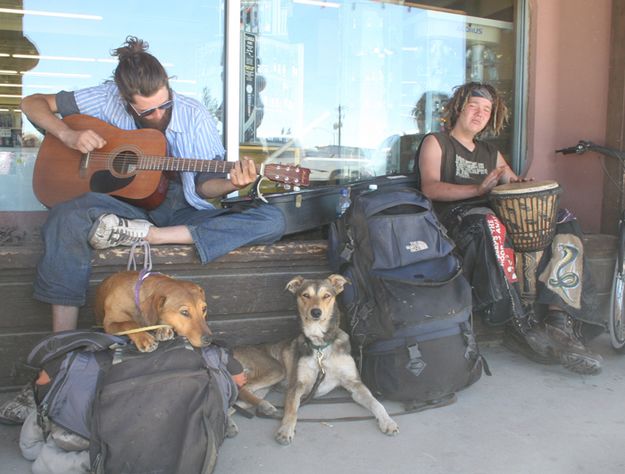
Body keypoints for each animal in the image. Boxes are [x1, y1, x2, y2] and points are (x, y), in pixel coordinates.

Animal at [234, 274, 400, 444]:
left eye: (326, 296)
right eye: (305, 295)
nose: (316, 312)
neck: (321, 346)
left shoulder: (355, 384)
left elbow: (376, 402)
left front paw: (388, 422)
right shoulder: (297, 386)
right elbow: (291, 410)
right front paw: (285, 430)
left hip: (264, 388)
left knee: (239, 398)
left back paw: (244, 418)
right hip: (275, 369)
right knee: (241, 390)